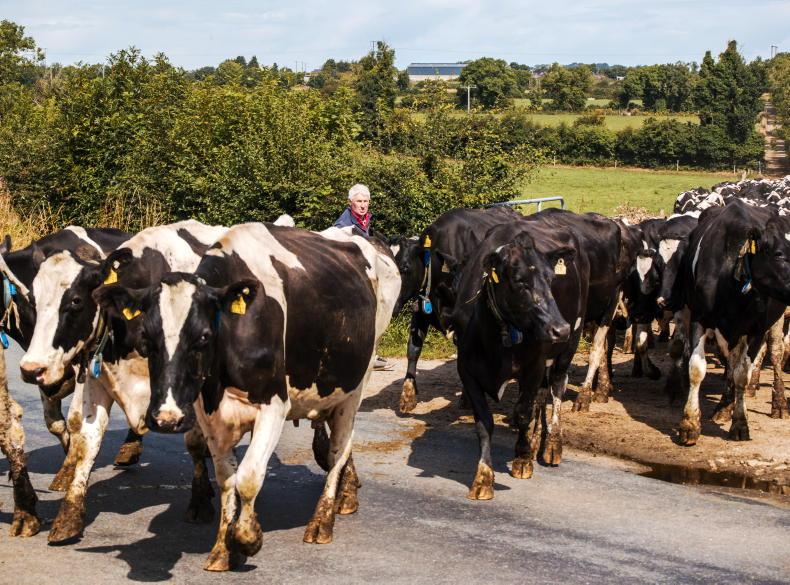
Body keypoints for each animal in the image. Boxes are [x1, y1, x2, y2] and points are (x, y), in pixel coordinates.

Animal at [18, 220, 228, 543]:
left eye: (76, 301)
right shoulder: (98, 378)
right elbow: (86, 439)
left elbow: (193, 441)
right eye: (33, 301)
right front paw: (69, 518)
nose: (32, 369)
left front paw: (200, 500)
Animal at [93, 223, 400, 571]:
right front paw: (223, 547)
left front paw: (247, 539)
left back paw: (322, 521)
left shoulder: (274, 405)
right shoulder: (208, 411)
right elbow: (227, 477)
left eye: (203, 337)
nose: (166, 419)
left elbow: (250, 476)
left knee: (339, 451)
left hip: (355, 386)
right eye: (147, 338)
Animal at [450, 219, 588, 499]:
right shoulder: (467, 370)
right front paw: (483, 477)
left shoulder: (533, 366)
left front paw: (522, 460)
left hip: (569, 345)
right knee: (542, 396)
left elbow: (522, 413)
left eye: (551, 279)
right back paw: (535, 442)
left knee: (557, 387)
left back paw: (551, 445)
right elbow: (484, 424)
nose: (560, 328)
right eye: (519, 281)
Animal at [677, 201, 790, 446]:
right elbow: (696, 369)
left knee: (776, 352)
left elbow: (742, 375)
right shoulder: (699, 317)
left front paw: (740, 423)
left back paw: (779, 404)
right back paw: (723, 406)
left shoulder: (755, 329)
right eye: (779, 254)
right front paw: (689, 425)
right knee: (730, 359)